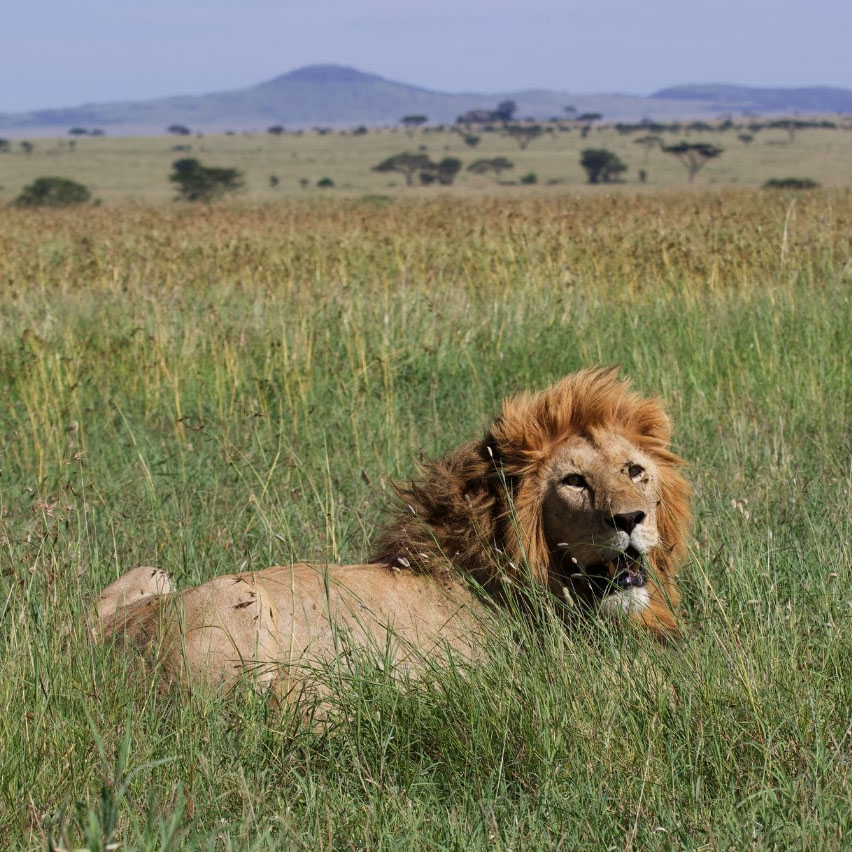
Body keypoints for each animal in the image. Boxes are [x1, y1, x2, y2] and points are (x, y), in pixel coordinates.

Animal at [95, 368, 692, 700]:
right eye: (574, 481)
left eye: (635, 471)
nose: (630, 520)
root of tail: (97, 647)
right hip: (241, 604)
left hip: (151, 573)